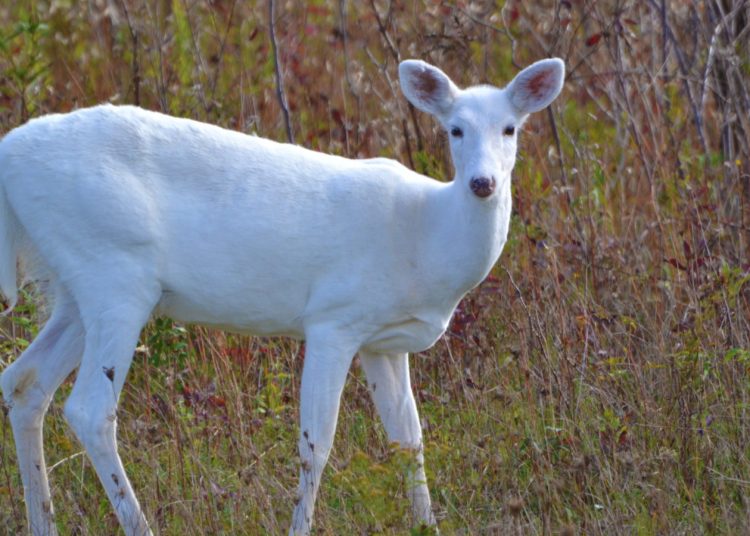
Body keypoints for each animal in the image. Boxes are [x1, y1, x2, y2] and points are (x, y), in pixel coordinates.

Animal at [0, 57, 564, 535]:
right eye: (455, 129)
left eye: (510, 128)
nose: (482, 183)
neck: (426, 236)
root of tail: (8, 155)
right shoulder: (334, 318)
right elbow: (317, 443)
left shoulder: (383, 341)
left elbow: (408, 439)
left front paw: (427, 525)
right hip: (116, 273)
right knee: (89, 410)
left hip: (77, 288)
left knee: (24, 383)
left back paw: (42, 523)